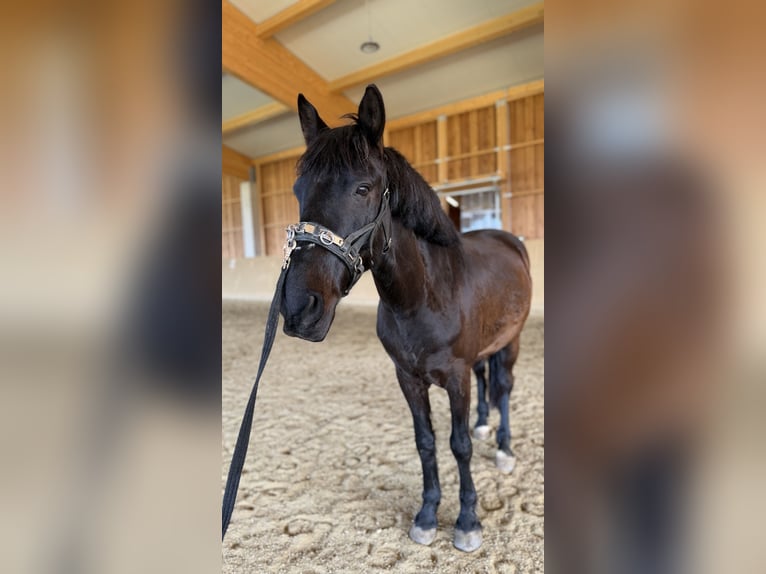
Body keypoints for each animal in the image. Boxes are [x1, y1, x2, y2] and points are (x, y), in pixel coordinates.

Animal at [280, 84, 532, 552]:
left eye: (363, 188)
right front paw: (428, 515)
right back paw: (485, 425)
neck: (421, 298)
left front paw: (467, 522)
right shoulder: (408, 378)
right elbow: (426, 442)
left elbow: (459, 445)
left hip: (512, 341)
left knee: (504, 387)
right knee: (488, 381)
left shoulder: (456, 376)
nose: (299, 308)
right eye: (297, 188)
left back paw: (504, 449)